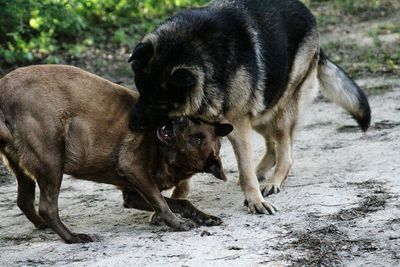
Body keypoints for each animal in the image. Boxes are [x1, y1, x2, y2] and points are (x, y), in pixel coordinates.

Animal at [0, 65, 233, 245]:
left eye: (198, 138)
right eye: (193, 124)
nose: (179, 119)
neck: (169, 158)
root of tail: (4, 89)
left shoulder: (132, 194)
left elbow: (182, 203)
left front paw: (206, 218)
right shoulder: (133, 168)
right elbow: (162, 203)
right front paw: (180, 224)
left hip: (24, 167)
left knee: (24, 201)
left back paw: (44, 226)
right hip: (51, 159)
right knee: (47, 208)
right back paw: (74, 237)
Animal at [128, 0, 372, 215]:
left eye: (160, 101)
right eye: (140, 89)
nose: (132, 124)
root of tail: (307, 13)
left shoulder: (237, 126)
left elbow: (245, 171)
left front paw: (255, 200)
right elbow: (186, 173)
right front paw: (177, 200)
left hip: (280, 110)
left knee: (285, 151)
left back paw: (273, 180)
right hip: (262, 111)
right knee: (274, 146)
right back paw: (263, 171)